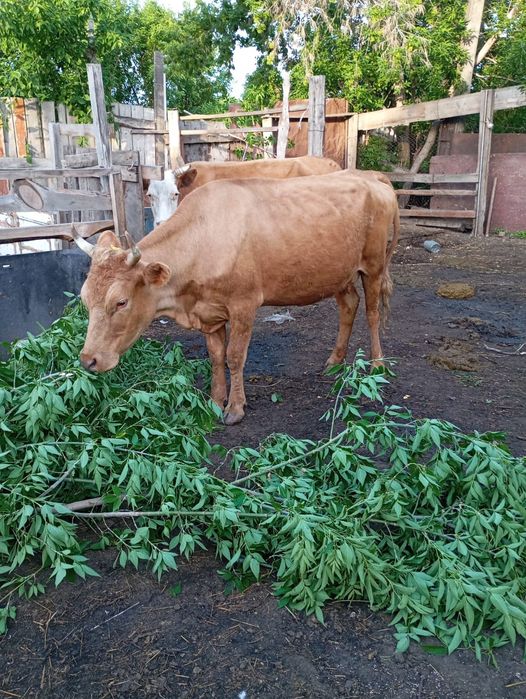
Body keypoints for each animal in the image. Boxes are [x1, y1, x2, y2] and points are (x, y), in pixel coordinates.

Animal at [73, 171, 399, 425]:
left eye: (121, 302)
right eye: (85, 299)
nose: (88, 360)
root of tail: (370, 176)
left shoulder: (244, 304)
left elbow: (235, 356)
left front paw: (235, 407)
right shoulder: (208, 312)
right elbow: (216, 357)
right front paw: (216, 401)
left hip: (373, 266)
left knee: (372, 312)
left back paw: (378, 364)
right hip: (339, 271)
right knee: (349, 305)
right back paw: (334, 360)